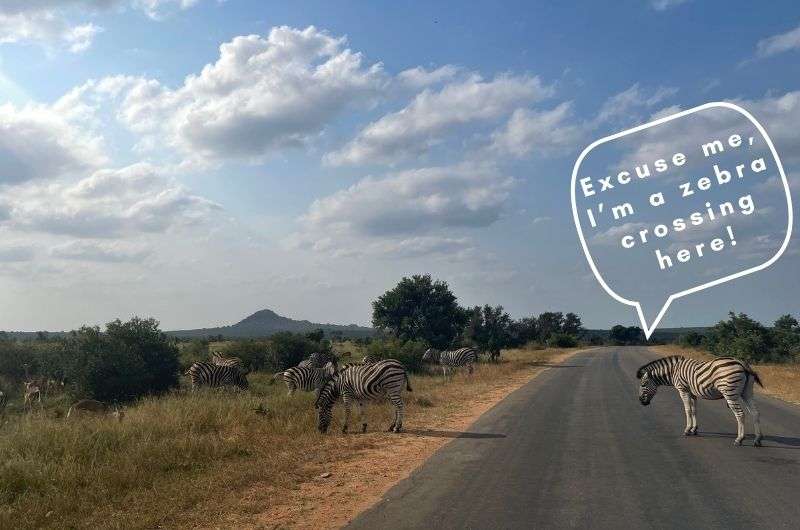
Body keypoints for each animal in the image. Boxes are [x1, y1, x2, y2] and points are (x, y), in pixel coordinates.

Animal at [636, 354, 764, 446]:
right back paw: (757, 439)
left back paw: (739, 439)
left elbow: (687, 410)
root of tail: (742, 363)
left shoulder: (683, 390)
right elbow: (694, 410)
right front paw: (694, 429)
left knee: (740, 414)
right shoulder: (692, 393)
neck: (673, 371)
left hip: (730, 393)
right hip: (747, 392)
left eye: (643, 385)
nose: (641, 402)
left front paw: (687, 430)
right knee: (755, 413)